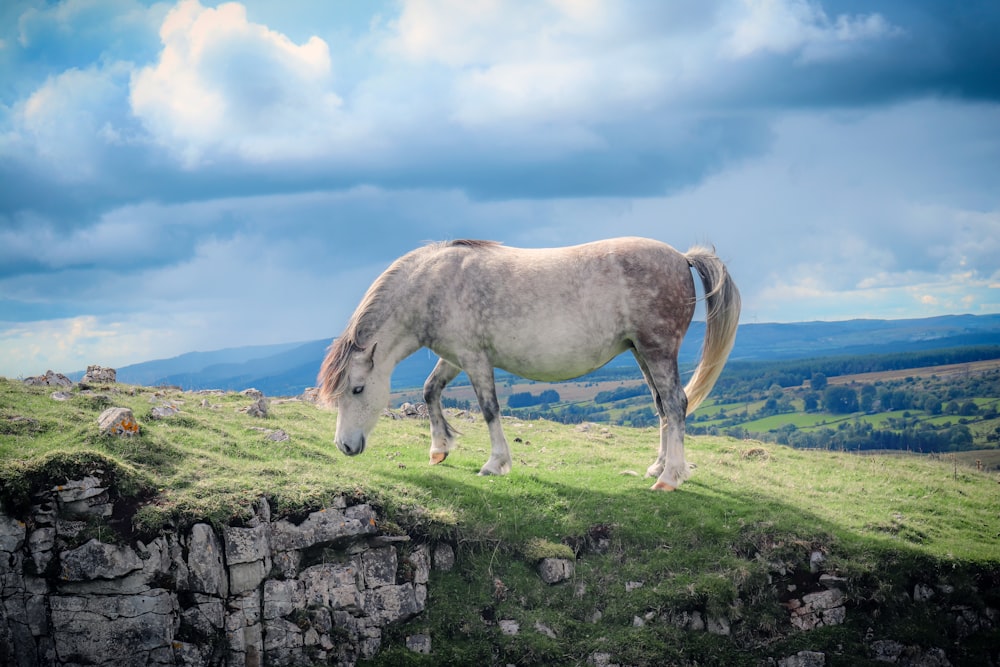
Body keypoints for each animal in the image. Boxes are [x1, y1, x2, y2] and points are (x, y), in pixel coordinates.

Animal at [316, 237, 740, 494]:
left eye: (357, 389)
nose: (345, 446)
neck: (433, 286)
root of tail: (682, 258)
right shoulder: (454, 357)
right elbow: (429, 391)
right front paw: (439, 449)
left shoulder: (475, 359)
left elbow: (489, 410)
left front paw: (495, 463)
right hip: (641, 353)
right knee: (662, 407)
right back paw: (658, 467)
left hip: (657, 350)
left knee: (676, 405)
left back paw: (669, 478)